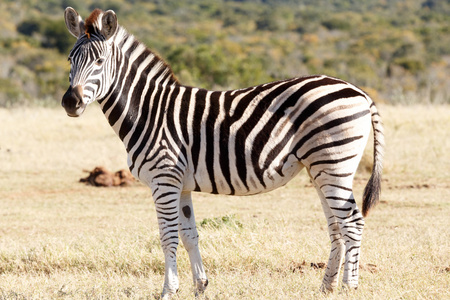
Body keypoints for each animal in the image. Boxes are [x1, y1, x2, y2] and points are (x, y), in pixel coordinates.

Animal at [62, 8, 384, 298]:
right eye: (70, 60)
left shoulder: (164, 179)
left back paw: (349, 288)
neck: (149, 112)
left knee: (352, 223)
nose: (69, 102)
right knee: (336, 225)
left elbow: (168, 237)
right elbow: (189, 234)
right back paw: (327, 287)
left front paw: (168, 291)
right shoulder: (181, 185)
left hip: (334, 163)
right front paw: (200, 287)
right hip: (321, 168)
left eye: (99, 61)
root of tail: (359, 91)